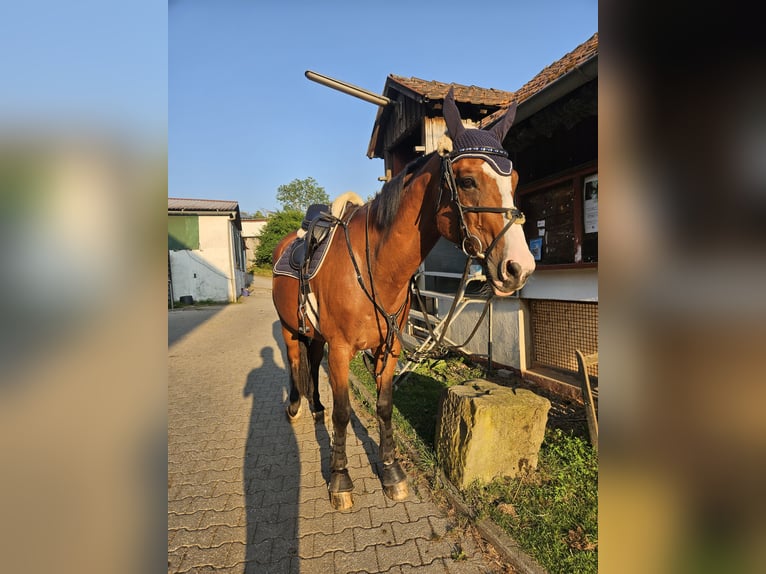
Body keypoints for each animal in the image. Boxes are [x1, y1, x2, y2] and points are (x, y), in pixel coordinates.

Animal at [272, 88, 536, 510]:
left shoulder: (389, 348)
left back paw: (315, 408)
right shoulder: (342, 350)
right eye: (466, 180)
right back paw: (297, 406)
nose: (519, 268)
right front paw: (340, 479)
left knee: (311, 363)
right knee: (296, 361)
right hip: (289, 327)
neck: (375, 267)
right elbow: (344, 413)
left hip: (315, 334)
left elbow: (383, 407)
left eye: (514, 179)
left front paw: (391, 472)